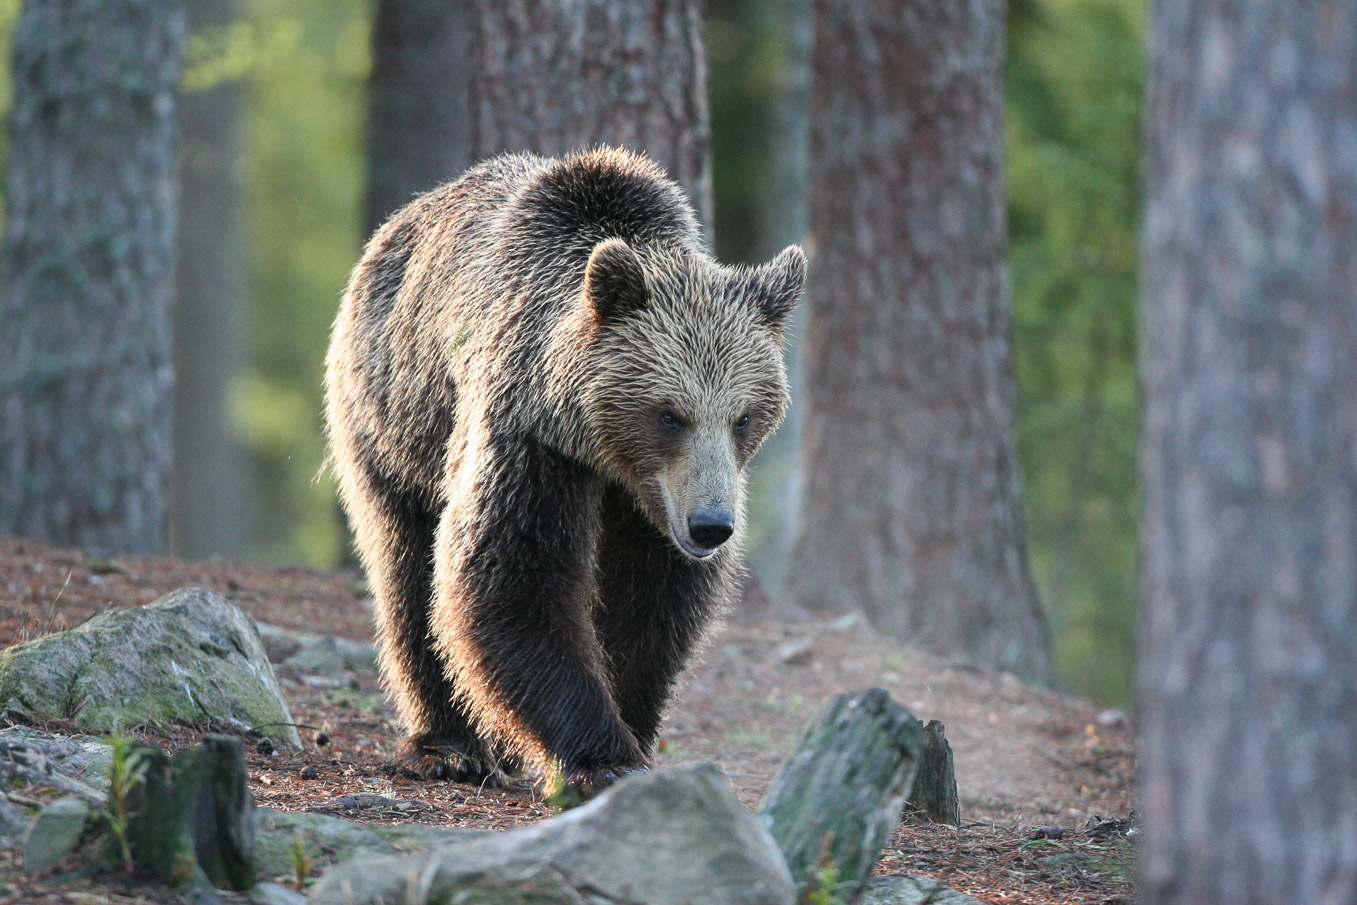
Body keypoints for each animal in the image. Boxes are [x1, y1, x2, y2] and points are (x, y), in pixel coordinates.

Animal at [324, 146, 805, 795]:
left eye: (744, 416)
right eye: (669, 414)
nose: (711, 527)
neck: (604, 454)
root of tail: (396, 225)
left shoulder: (655, 504)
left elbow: (651, 600)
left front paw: (630, 725)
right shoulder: (528, 438)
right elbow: (512, 575)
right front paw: (602, 757)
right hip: (391, 413)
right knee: (406, 565)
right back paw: (449, 745)